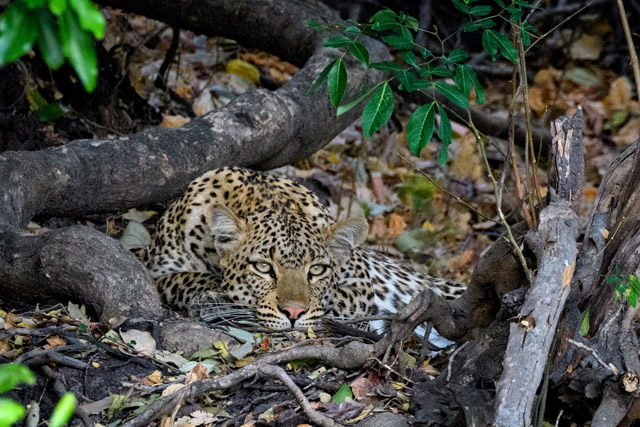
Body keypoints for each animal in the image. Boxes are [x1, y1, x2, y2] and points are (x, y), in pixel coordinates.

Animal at [144, 166, 466, 332]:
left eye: (317, 270)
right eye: (263, 267)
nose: (294, 313)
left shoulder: (361, 284)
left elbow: (334, 301)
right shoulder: (154, 266)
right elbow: (181, 278)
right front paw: (213, 295)